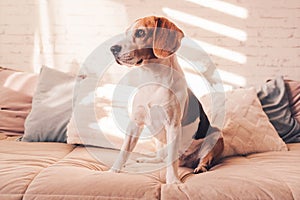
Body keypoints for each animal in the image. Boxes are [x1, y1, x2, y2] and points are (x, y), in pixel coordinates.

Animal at [109, 16, 223, 184]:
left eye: (140, 32)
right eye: (126, 32)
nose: (113, 49)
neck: (153, 79)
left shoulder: (172, 124)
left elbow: (171, 159)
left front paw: (173, 181)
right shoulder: (135, 122)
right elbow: (124, 151)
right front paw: (113, 171)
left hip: (215, 136)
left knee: (203, 159)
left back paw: (200, 167)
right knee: (162, 157)